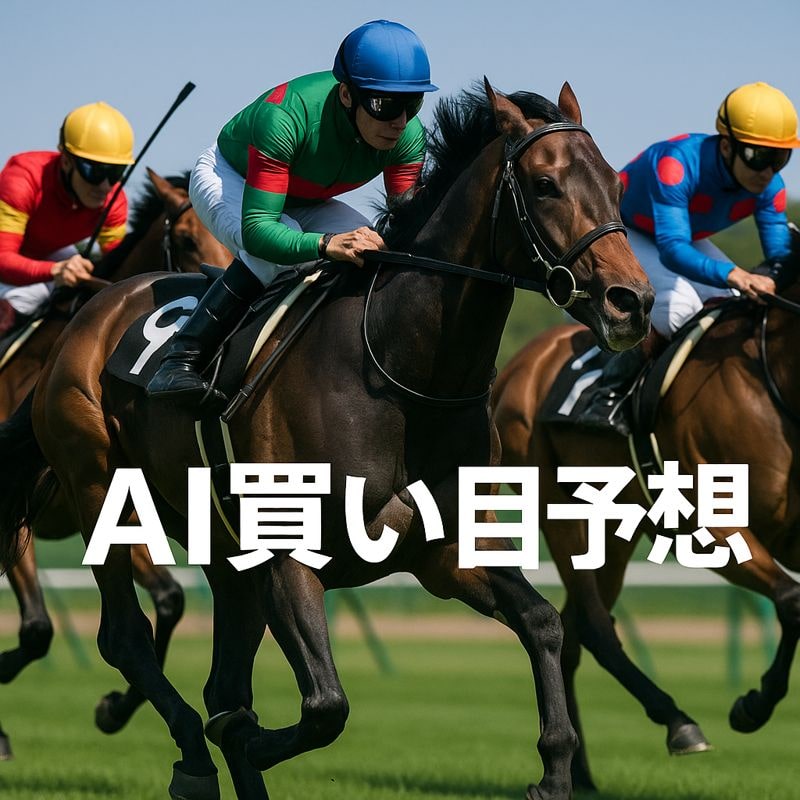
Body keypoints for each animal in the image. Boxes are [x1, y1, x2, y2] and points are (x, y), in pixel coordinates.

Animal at [492, 228, 800, 792]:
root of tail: (519, 364)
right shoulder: (711, 525)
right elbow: (791, 600)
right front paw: (752, 706)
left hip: (616, 527)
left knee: (576, 632)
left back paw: (583, 774)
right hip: (563, 511)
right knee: (593, 627)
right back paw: (678, 723)